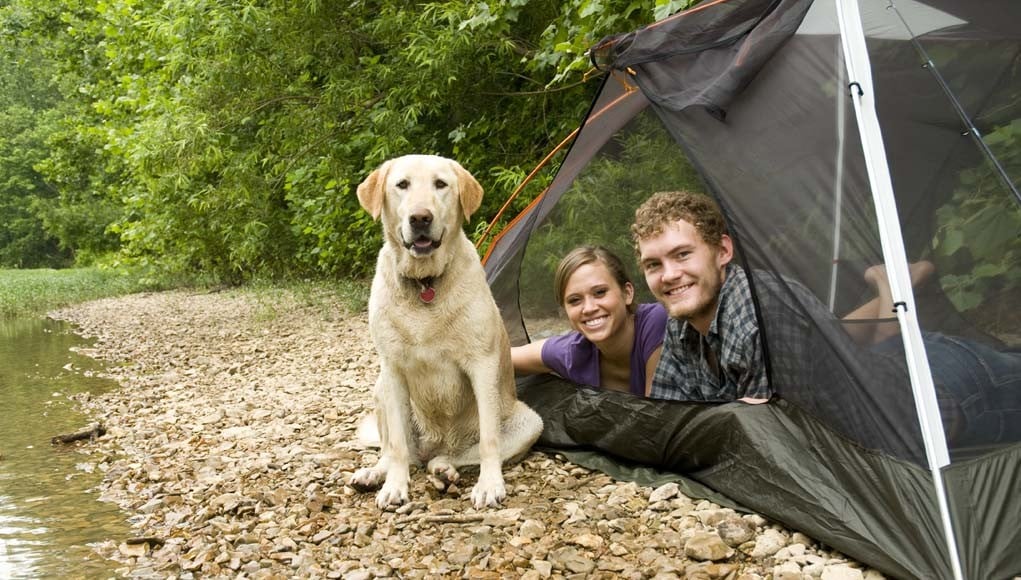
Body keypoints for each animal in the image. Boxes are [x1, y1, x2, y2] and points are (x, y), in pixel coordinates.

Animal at [351, 154, 543, 506]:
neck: (425, 282)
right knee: (400, 452)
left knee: (451, 457)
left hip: (530, 422)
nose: (420, 218)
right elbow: (397, 446)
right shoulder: (393, 370)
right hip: (381, 387)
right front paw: (394, 486)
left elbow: (489, 440)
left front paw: (490, 485)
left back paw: (444, 471)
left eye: (440, 184)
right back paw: (376, 473)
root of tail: (437, 444)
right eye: (402, 184)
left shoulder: (482, 364)